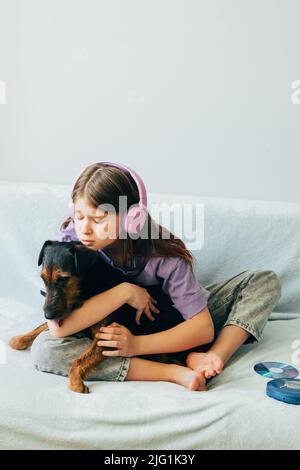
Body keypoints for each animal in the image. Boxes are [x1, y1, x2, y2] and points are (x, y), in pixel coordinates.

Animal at [9, 241, 185, 392]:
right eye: (43, 278)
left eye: (64, 279)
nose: (48, 314)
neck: (91, 284)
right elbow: (42, 326)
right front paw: (20, 339)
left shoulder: (107, 338)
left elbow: (78, 361)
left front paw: (76, 384)